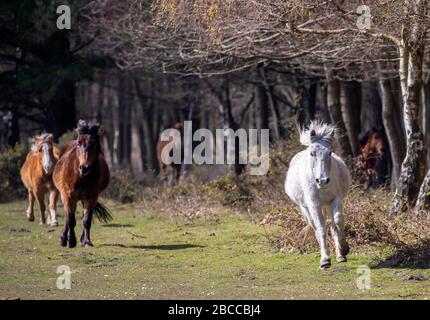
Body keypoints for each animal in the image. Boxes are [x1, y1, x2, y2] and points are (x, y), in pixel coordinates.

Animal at [52, 120, 111, 248]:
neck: (81, 178)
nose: (84, 168)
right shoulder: (68, 196)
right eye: (79, 143)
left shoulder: (91, 198)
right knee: (67, 216)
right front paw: (71, 241)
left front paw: (87, 241)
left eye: (95, 144)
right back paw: (63, 239)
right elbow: (70, 220)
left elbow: (86, 220)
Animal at [284, 121, 352, 268]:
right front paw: (325, 260)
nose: (322, 180)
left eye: (330, 152)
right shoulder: (314, 204)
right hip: (306, 209)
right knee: (315, 228)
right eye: (312, 153)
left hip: (326, 205)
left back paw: (340, 256)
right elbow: (321, 228)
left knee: (333, 226)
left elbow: (338, 220)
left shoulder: (335, 199)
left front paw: (344, 249)